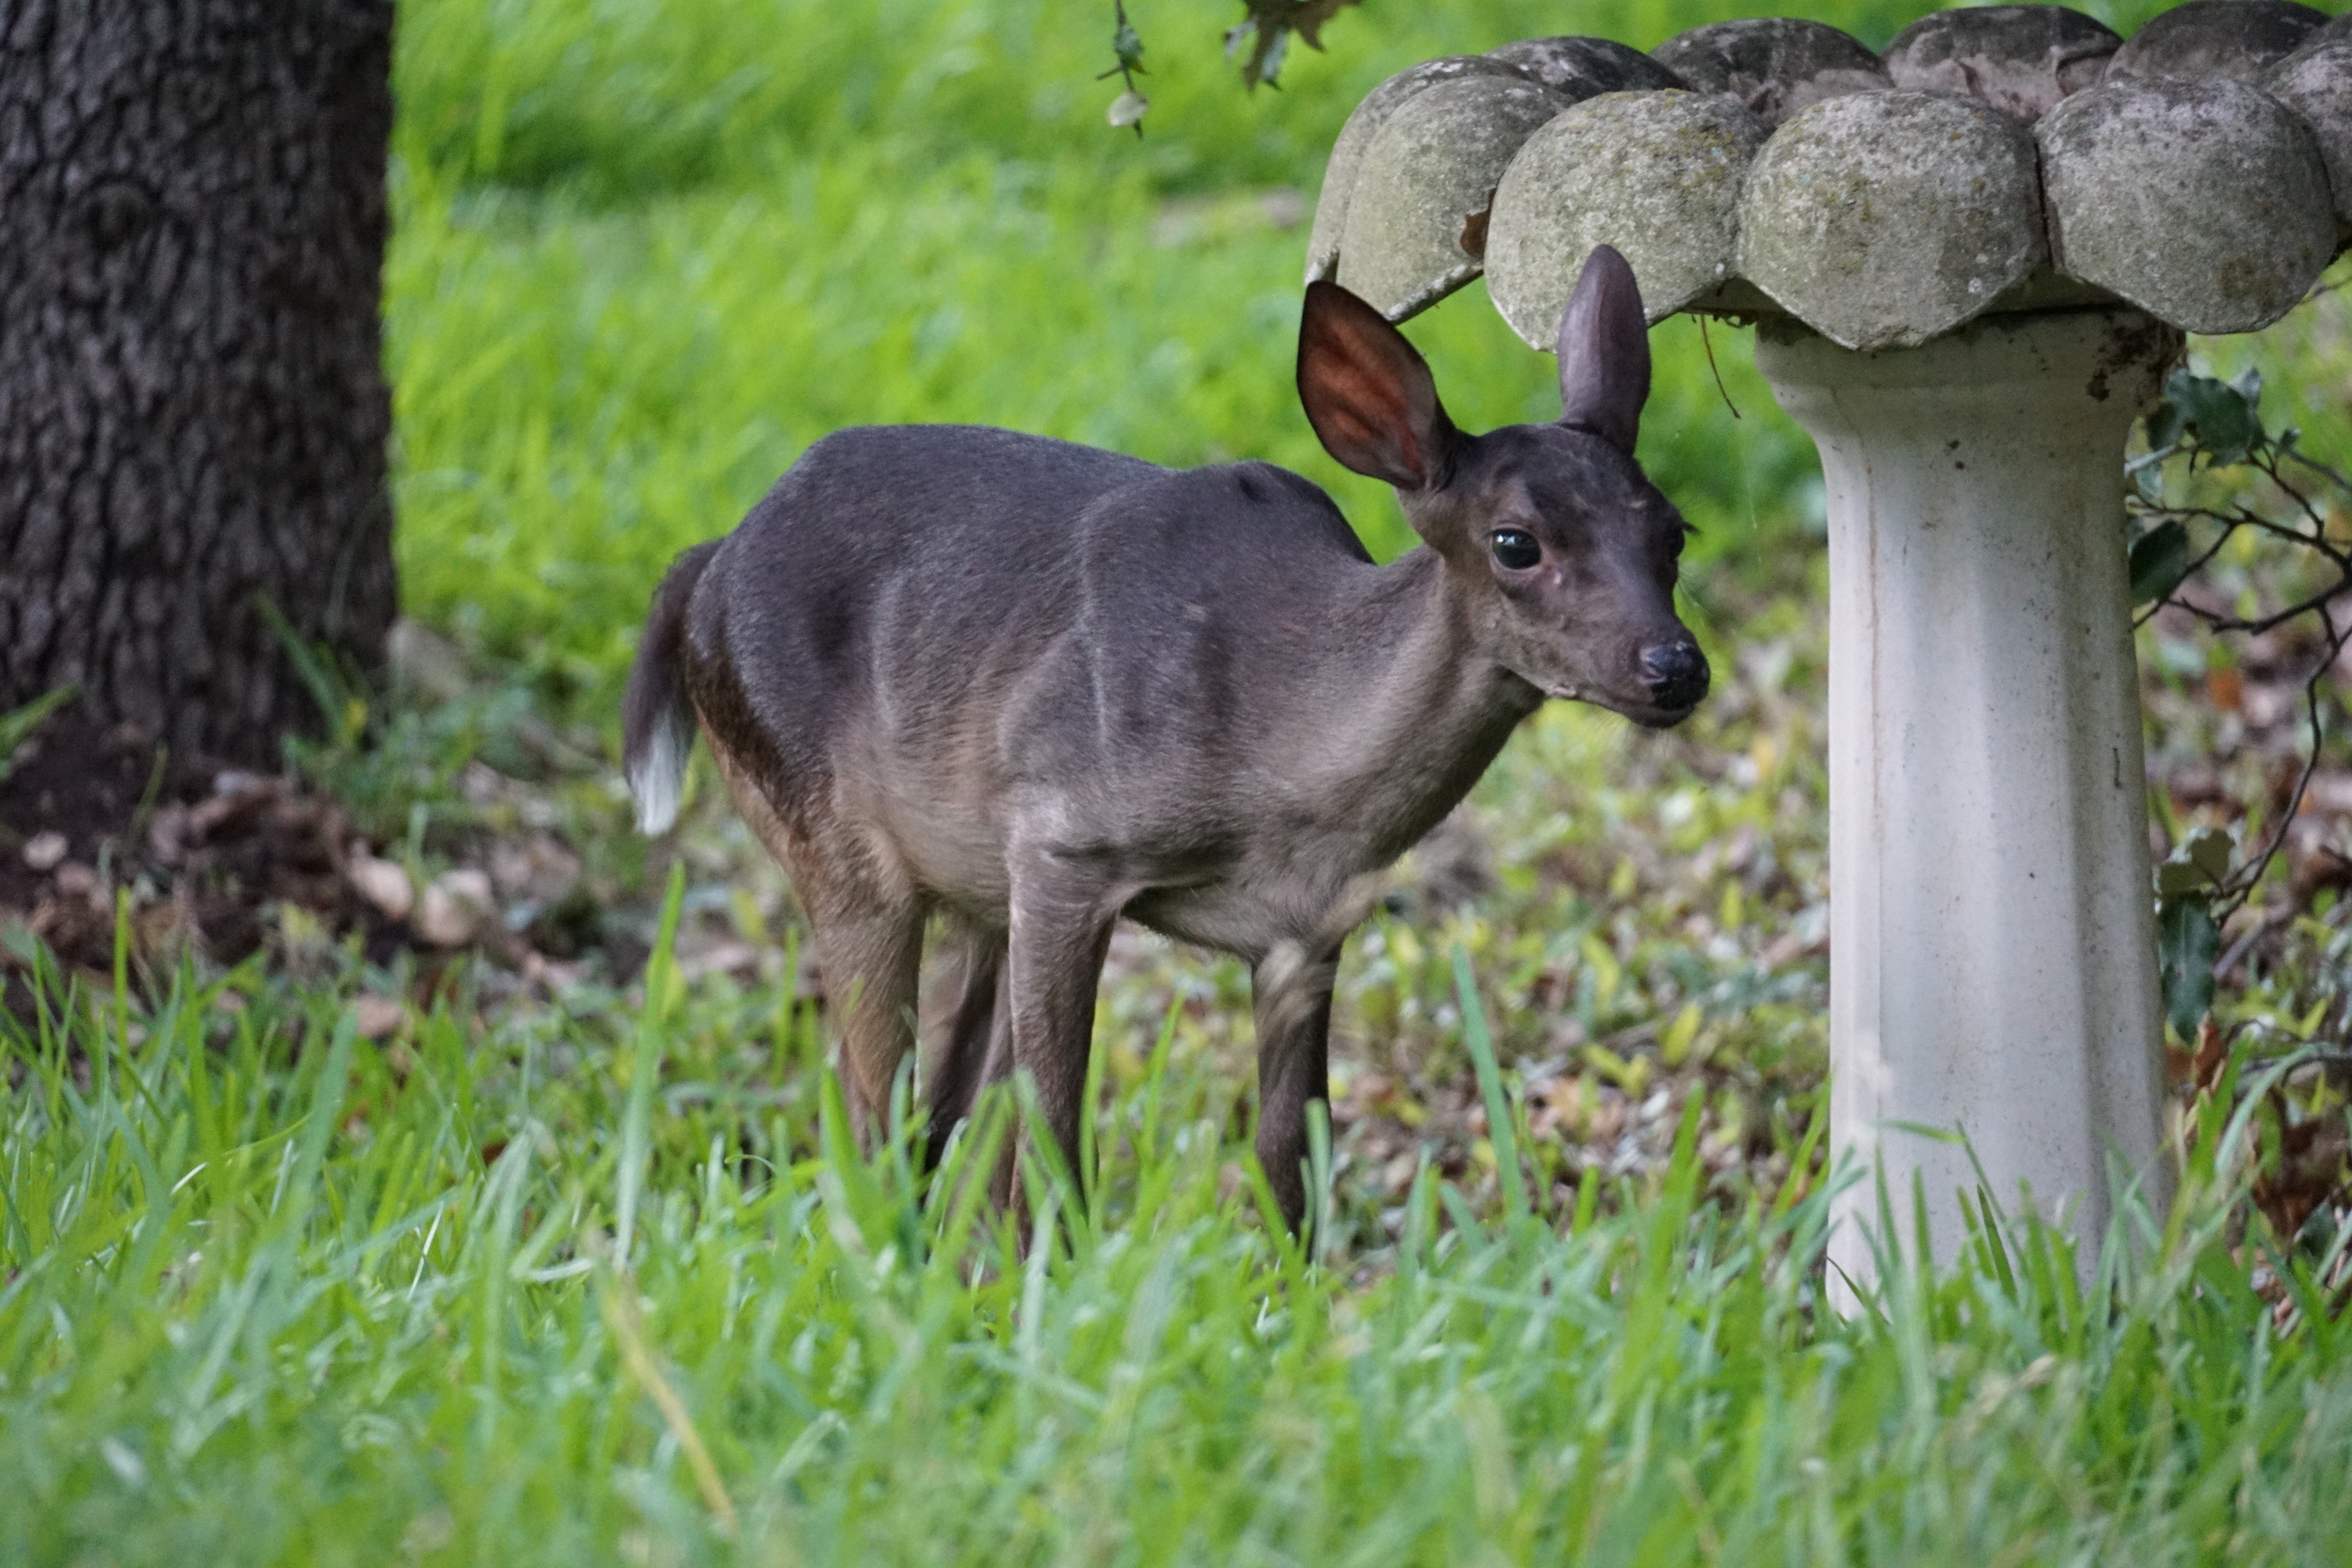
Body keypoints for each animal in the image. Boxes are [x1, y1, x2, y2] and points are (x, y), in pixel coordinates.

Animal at [616, 245, 1703, 1231]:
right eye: (1515, 541)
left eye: (1674, 534)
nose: (1675, 666)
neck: (1285, 781)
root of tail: (706, 565)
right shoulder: (1063, 836)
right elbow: (1054, 1139)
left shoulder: (1310, 930)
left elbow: (1288, 1165)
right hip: (824, 824)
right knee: (874, 1120)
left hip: (967, 886)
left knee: (935, 1124)